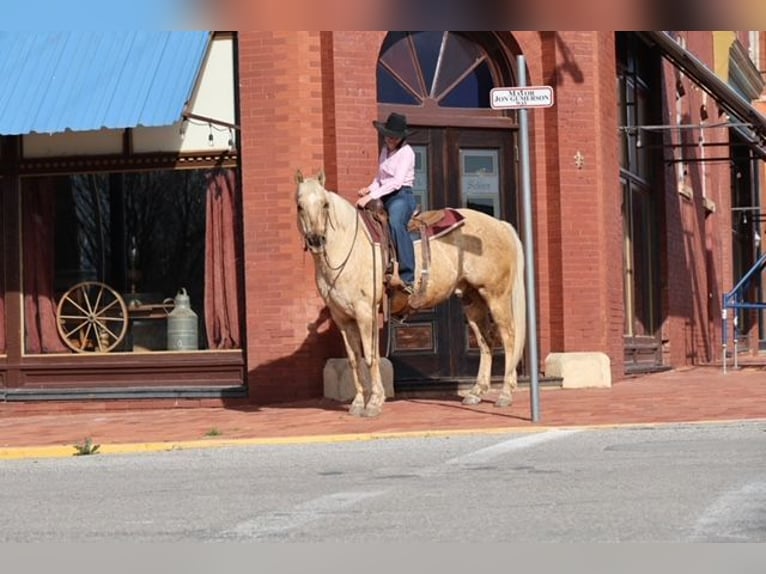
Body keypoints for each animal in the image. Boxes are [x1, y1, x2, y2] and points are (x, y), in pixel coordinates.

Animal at [295, 169, 526, 418]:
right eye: (299, 205)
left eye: (325, 204)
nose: (316, 240)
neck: (350, 246)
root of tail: (500, 225)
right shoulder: (342, 318)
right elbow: (354, 360)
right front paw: (357, 403)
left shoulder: (366, 312)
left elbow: (370, 356)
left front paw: (374, 402)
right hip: (472, 300)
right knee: (485, 341)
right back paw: (476, 392)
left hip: (496, 296)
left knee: (509, 337)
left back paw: (505, 394)